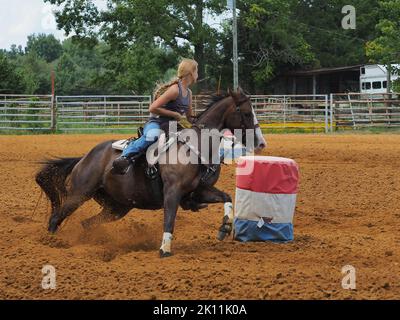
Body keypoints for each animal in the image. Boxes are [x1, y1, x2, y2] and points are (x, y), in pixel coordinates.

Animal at [34, 88, 266, 258]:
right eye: (246, 112)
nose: (261, 143)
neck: (194, 147)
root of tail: (83, 158)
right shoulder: (172, 192)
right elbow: (169, 219)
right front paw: (164, 249)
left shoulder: (199, 191)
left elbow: (226, 197)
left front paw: (225, 227)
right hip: (80, 193)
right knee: (56, 218)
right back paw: (50, 243)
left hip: (117, 207)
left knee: (87, 223)